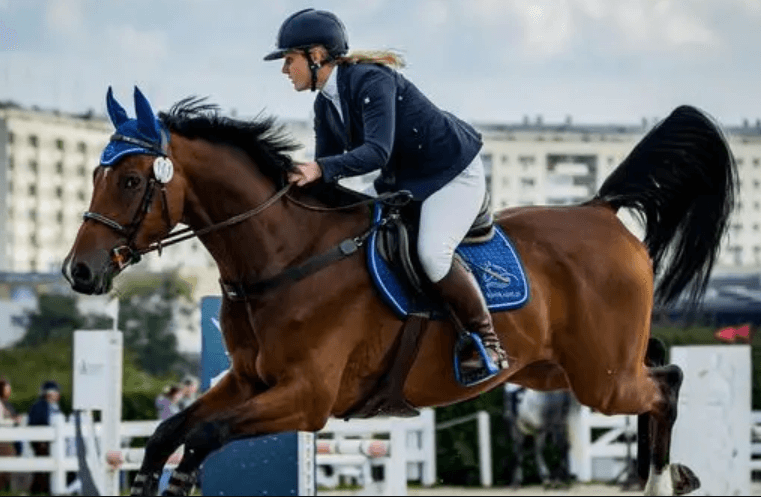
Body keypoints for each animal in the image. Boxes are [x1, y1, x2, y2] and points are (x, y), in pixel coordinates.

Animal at [62, 87, 736, 496]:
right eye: (94, 173)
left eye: (129, 180)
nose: (79, 273)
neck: (283, 256)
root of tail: (600, 210)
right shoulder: (248, 382)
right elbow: (166, 434)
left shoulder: (305, 398)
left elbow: (202, 437)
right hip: (556, 369)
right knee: (657, 367)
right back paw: (670, 473)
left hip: (599, 378)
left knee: (665, 385)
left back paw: (659, 480)